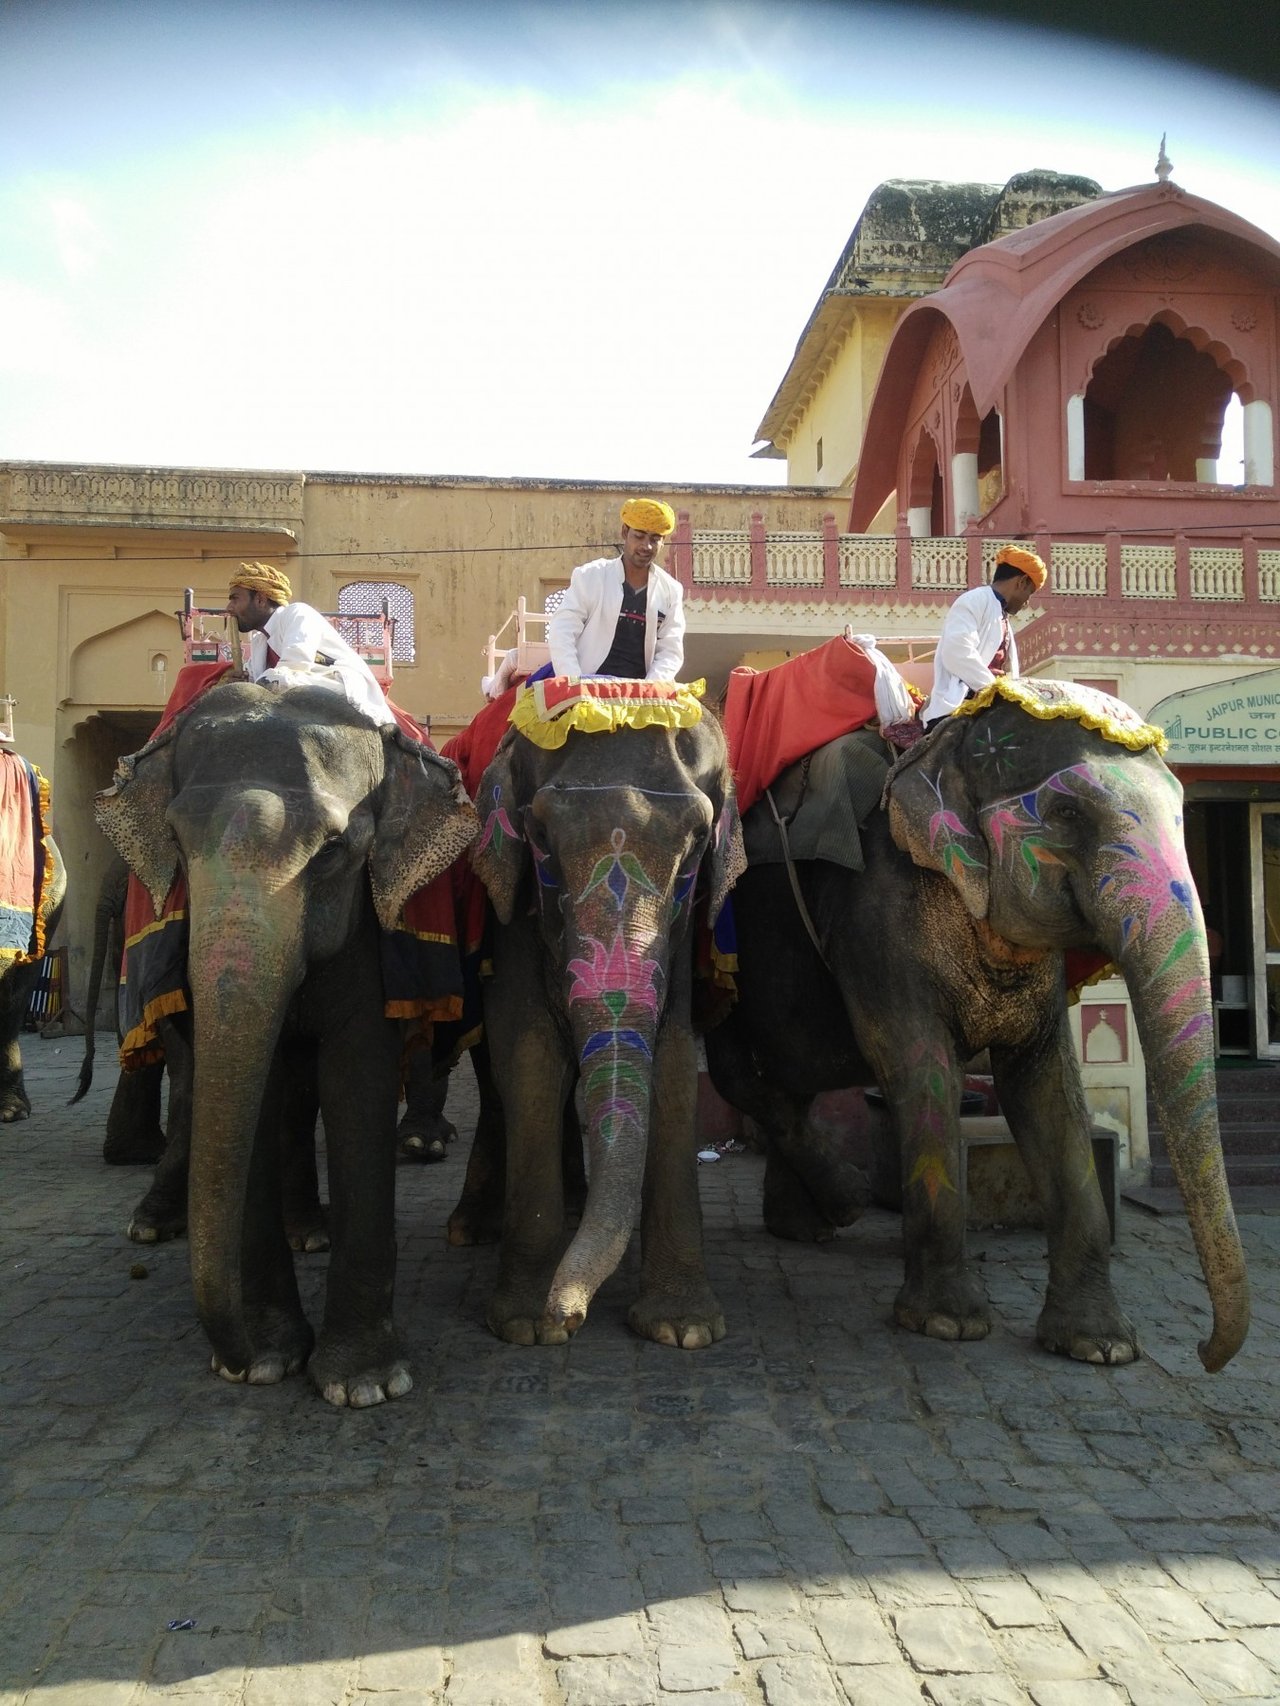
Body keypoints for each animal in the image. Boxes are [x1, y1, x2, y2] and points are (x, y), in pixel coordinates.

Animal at [95, 672, 477, 1405]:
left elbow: (356, 1074)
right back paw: (167, 1225)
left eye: (331, 852)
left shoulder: (371, 929)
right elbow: (256, 1086)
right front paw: (270, 1361)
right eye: (177, 843)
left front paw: (363, 1385)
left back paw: (312, 1233)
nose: (233, 1358)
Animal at [477, 706, 747, 1344]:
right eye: (541, 836)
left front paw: (684, 1329)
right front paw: (529, 1326)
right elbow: (528, 1058)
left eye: (697, 841)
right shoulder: (514, 914)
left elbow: (674, 1062)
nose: (570, 1311)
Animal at [706, 678, 1249, 1371]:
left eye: (1184, 813)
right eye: (1068, 813)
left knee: (789, 1077)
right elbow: (921, 1069)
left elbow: (1049, 1091)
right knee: (738, 1072)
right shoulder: (877, 915)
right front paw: (945, 1324)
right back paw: (845, 1203)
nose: (1206, 1354)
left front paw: (1100, 1346)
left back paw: (808, 1227)